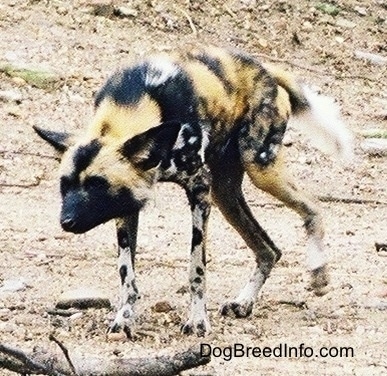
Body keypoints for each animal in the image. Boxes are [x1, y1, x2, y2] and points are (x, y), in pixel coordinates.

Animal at [34, 45, 354, 336]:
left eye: (97, 185)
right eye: (65, 186)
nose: (66, 222)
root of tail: (264, 70)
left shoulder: (199, 191)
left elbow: (196, 270)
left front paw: (198, 321)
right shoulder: (126, 206)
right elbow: (127, 274)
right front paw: (124, 319)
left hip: (260, 170)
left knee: (312, 208)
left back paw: (318, 273)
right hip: (226, 196)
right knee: (269, 250)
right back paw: (244, 302)